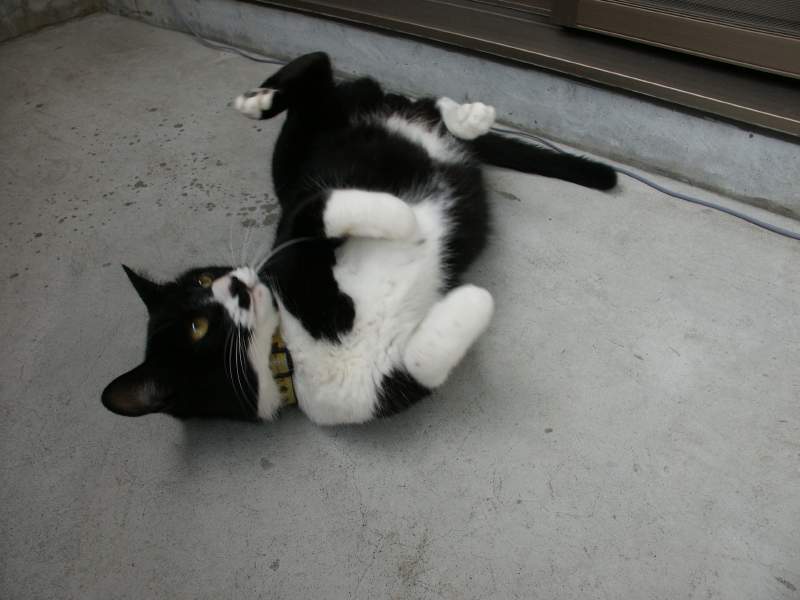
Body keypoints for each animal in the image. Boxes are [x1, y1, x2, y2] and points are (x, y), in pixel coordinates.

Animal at [101, 52, 616, 425]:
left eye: (204, 281)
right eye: (197, 327)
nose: (233, 282)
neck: (293, 351)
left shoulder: (292, 234)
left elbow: (321, 207)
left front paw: (405, 221)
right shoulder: (386, 389)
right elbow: (427, 358)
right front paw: (467, 297)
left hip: (310, 134)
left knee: (327, 69)